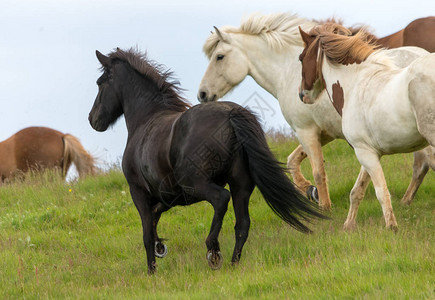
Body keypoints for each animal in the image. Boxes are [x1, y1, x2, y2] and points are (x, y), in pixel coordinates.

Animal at [89, 47, 328, 274]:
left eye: (100, 83)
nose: (93, 119)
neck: (146, 121)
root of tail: (232, 114)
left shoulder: (138, 192)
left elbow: (147, 234)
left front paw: (151, 270)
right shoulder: (170, 195)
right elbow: (156, 216)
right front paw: (160, 248)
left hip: (198, 184)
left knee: (221, 199)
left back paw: (213, 251)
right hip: (240, 184)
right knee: (242, 224)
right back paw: (233, 263)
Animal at [198, 12, 432, 211]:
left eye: (219, 56)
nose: (202, 94)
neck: (287, 72)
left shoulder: (305, 131)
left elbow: (318, 171)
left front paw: (324, 205)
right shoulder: (324, 133)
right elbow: (293, 161)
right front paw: (310, 191)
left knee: (423, 163)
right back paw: (405, 201)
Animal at [300, 24, 435, 230]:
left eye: (301, 58)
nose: (302, 95)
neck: (354, 85)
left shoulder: (364, 153)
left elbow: (381, 192)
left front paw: (391, 227)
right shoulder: (369, 151)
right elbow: (357, 191)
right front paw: (348, 226)